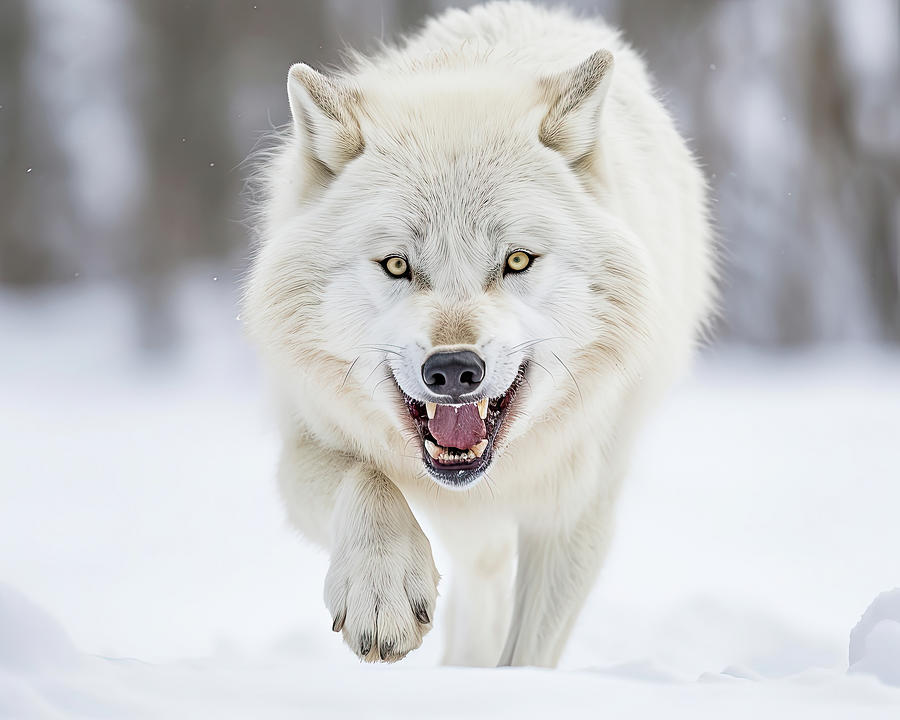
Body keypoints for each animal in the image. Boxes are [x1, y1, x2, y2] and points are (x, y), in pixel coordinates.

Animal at [243, 0, 712, 668]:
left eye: (517, 261)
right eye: (396, 265)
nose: (452, 371)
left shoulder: (577, 507)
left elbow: (526, 656)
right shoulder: (306, 440)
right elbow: (367, 478)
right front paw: (382, 592)